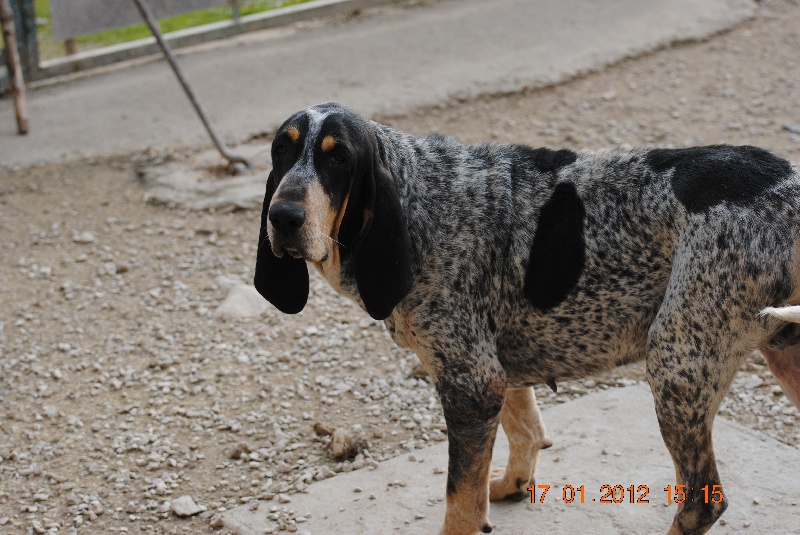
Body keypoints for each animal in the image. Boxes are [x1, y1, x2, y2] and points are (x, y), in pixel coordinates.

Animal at [255, 101, 800, 535]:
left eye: (339, 158)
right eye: (281, 151)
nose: (282, 218)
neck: (418, 198)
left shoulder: (471, 384)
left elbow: (460, 499)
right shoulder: (497, 370)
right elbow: (525, 429)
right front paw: (513, 483)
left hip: (676, 364)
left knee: (702, 502)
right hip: (780, 355)